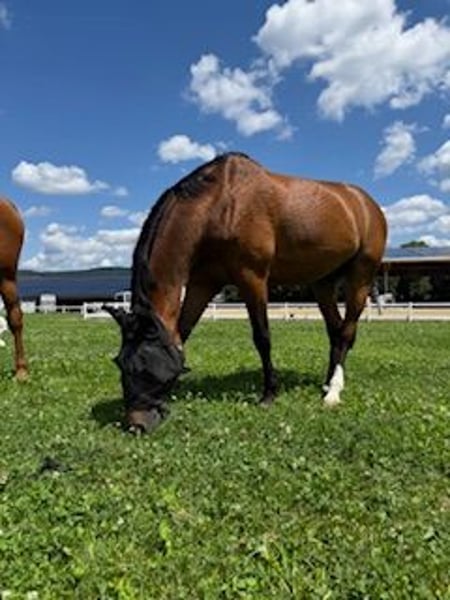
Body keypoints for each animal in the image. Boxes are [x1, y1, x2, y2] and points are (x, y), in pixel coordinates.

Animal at [106, 153, 387, 433]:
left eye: (145, 364)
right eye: (120, 363)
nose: (136, 425)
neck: (220, 205)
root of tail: (366, 203)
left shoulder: (252, 278)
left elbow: (262, 337)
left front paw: (269, 394)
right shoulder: (202, 283)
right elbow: (182, 332)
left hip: (360, 278)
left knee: (347, 332)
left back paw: (334, 393)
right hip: (322, 283)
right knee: (335, 331)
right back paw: (328, 383)